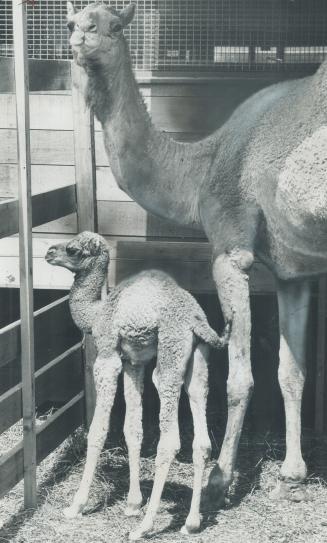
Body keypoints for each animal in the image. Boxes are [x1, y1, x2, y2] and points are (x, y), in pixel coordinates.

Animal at [45, 231, 231, 540]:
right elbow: (133, 429)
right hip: (197, 361)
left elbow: (98, 431)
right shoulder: (134, 362)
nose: (49, 252)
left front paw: (76, 505)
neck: (97, 313)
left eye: (72, 250)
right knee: (202, 438)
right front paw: (132, 503)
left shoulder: (108, 357)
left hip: (169, 359)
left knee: (169, 440)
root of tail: (198, 322)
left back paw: (144, 527)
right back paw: (191, 523)